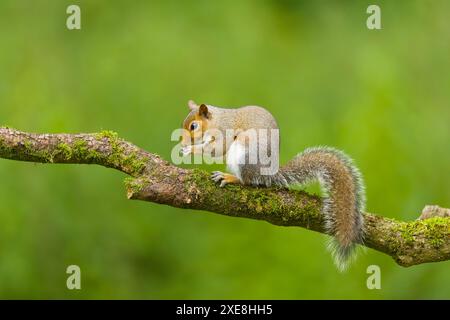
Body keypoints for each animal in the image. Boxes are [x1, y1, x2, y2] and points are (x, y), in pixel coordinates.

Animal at [179, 100, 366, 270]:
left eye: (193, 126)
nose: (182, 144)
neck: (216, 120)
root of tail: (268, 173)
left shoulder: (224, 132)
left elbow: (216, 149)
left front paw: (191, 150)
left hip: (244, 153)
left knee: (247, 180)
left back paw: (231, 177)